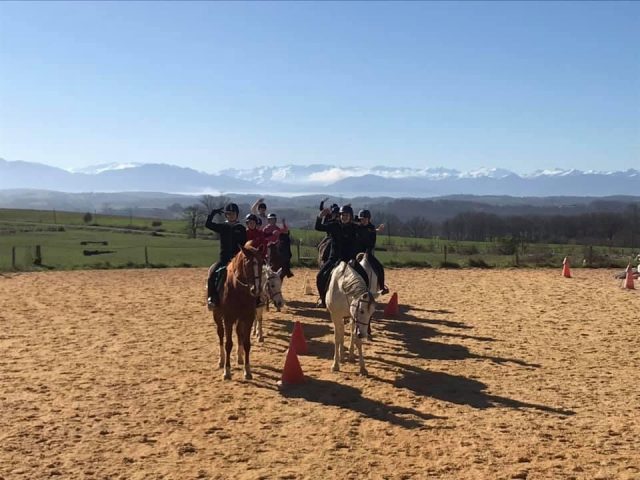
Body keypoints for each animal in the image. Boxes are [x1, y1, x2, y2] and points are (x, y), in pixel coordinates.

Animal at [212, 242, 262, 380]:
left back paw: (240, 358)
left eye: (262, 263)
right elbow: (228, 344)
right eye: (247, 263)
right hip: (217, 316)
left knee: (239, 333)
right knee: (220, 334)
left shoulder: (248, 318)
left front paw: (247, 370)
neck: (238, 291)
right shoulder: (228, 319)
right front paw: (227, 371)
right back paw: (221, 360)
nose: (256, 290)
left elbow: (247, 343)